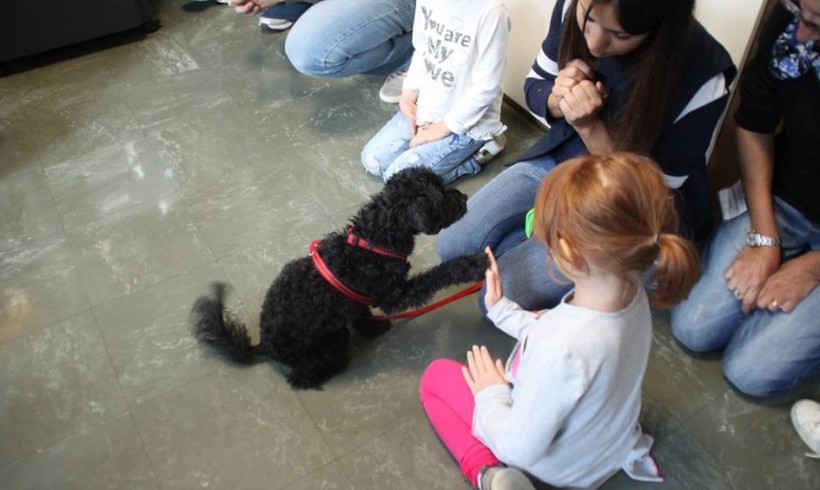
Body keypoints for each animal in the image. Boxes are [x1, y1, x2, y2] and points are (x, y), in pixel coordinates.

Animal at [192, 168, 486, 390]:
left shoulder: (361, 297)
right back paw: (332, 368)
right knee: (300, 376)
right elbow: (438, 273)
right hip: (332, 340)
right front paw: (472, 265)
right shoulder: (395, 294)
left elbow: (363, 310)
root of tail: (264, 344)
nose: (465, 196)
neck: (376, 238)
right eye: (441, 193)